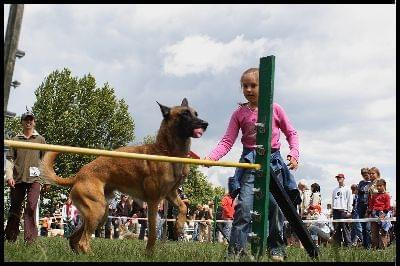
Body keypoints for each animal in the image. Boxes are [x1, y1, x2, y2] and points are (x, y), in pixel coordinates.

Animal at [39, 98, 209, 255]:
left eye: (196, 113)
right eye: (184, 114)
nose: (205, 124)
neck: (167, 152)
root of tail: (78, 176)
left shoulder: (171, 193)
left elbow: (183, 207)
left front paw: (179, 225)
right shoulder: (153, 202)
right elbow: (153, 232)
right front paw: (149, 253)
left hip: (101, 214)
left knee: (74, 238)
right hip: (97, 210)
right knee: (83, 241)